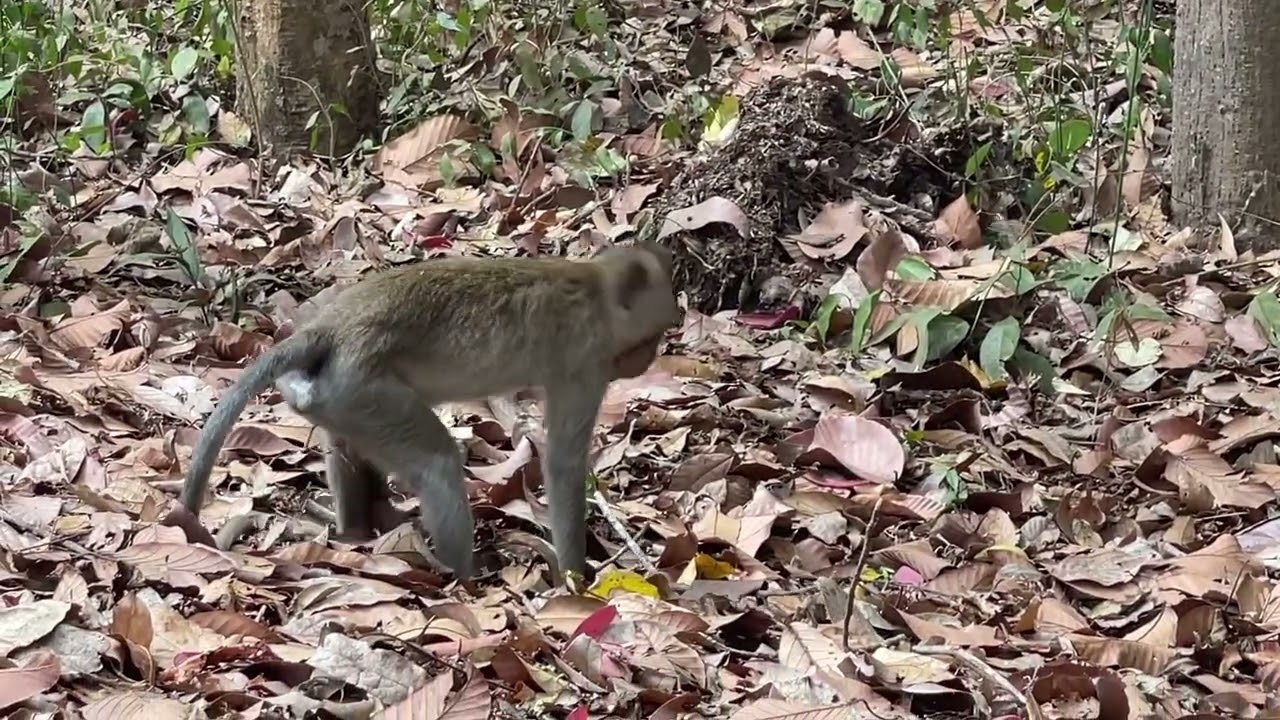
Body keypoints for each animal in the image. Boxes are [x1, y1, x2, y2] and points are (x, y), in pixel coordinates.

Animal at [172, 241, 680, 581]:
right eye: (652, 334)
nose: (646, 360)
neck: (594, 288)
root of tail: (329, 328)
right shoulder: (585, 358)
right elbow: (564, 464)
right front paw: (577, 577)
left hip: (332, 395)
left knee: (345, 444)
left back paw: (358, 531)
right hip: (364, 391)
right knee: (437, 463)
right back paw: (464, 577)